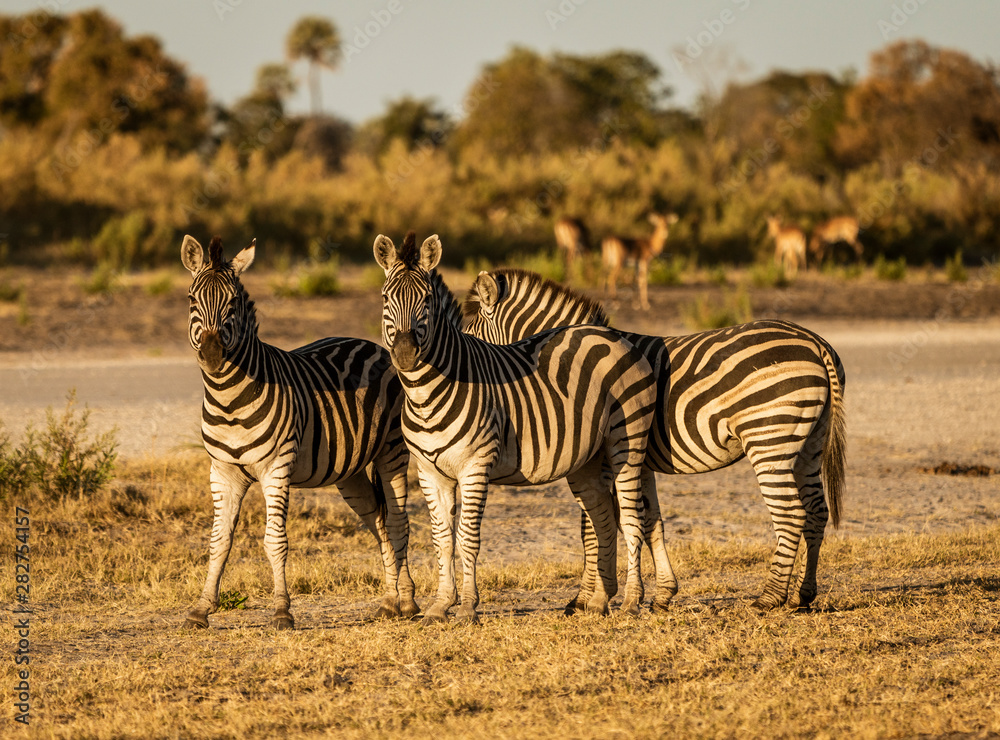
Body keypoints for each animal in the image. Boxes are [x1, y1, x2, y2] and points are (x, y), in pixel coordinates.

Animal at [181, 234, 417, 629]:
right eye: (191, 299)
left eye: (232, 302)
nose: (212, 356)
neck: (228, 399)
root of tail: (372, 345)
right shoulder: (223, 472)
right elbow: (218, 541)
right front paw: (200, 610)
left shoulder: (276, 468)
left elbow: (274, 540)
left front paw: (282, 611)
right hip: (350, 473)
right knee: (379, 523)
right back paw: (389, 601)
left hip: (392, 451)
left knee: (399, 521)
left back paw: (410, 603)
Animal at [374, 231, 666, 623]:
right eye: (386, 298)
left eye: (427, 300)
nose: (405, 354)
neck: (425, 394)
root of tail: (614, 336)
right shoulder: (428, 471)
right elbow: (441, 539)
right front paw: (440, 604)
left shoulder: (475, 466)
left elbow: (467, 537)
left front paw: (468, 607)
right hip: (588, 459)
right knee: (604, 518)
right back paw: (600, 602)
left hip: (627, 443)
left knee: (632, 518)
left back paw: (632, 601)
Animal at [465, 268, 847, 611]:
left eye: (469, 337)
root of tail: (814, 342)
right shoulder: (638, 460)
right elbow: (651, 523)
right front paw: (662, 594)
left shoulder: (605, 458)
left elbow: (594, 526)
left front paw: (587, 598)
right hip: (809, 444)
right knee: (816, 510)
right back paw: (804, 595)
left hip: (769, 439)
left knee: (791, 514)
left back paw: (769, 598)